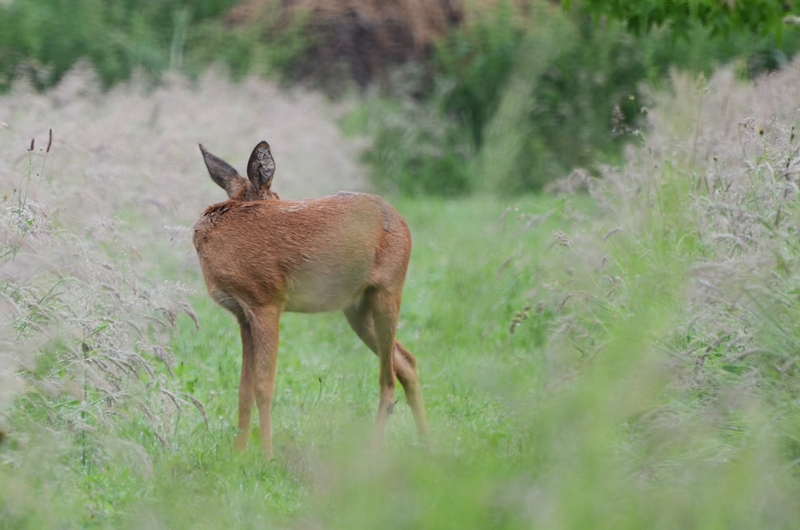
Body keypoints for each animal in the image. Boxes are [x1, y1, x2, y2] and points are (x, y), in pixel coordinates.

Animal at [192, 141, 432, 458]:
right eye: (275, 197)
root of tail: (403, 222)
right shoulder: (242, 314)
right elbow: (244, 388)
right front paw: (238, 453)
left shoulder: (267, 302)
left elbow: (263, 386)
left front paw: (267, 456)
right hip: (357, 308)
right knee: (406, 361)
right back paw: (427, 445)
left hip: (389, 289)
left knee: (388, 378)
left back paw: (373, 452)